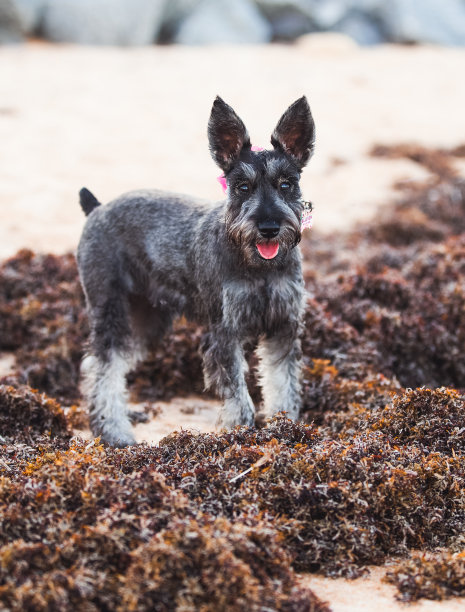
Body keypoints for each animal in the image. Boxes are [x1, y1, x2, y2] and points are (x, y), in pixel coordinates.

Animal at [77, 95, 316, 444]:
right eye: (242, 186)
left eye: (287, 183)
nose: (269, 227)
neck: (259, 267)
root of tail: (96, 208)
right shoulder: (225, 332)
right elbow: (239, 396)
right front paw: (241, 435)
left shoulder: (283, 326)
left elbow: (282, 385)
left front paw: (285, 428)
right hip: (110, 308)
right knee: (101, 367)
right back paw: (114, 432)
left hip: (147, 319)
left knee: (115, 363)